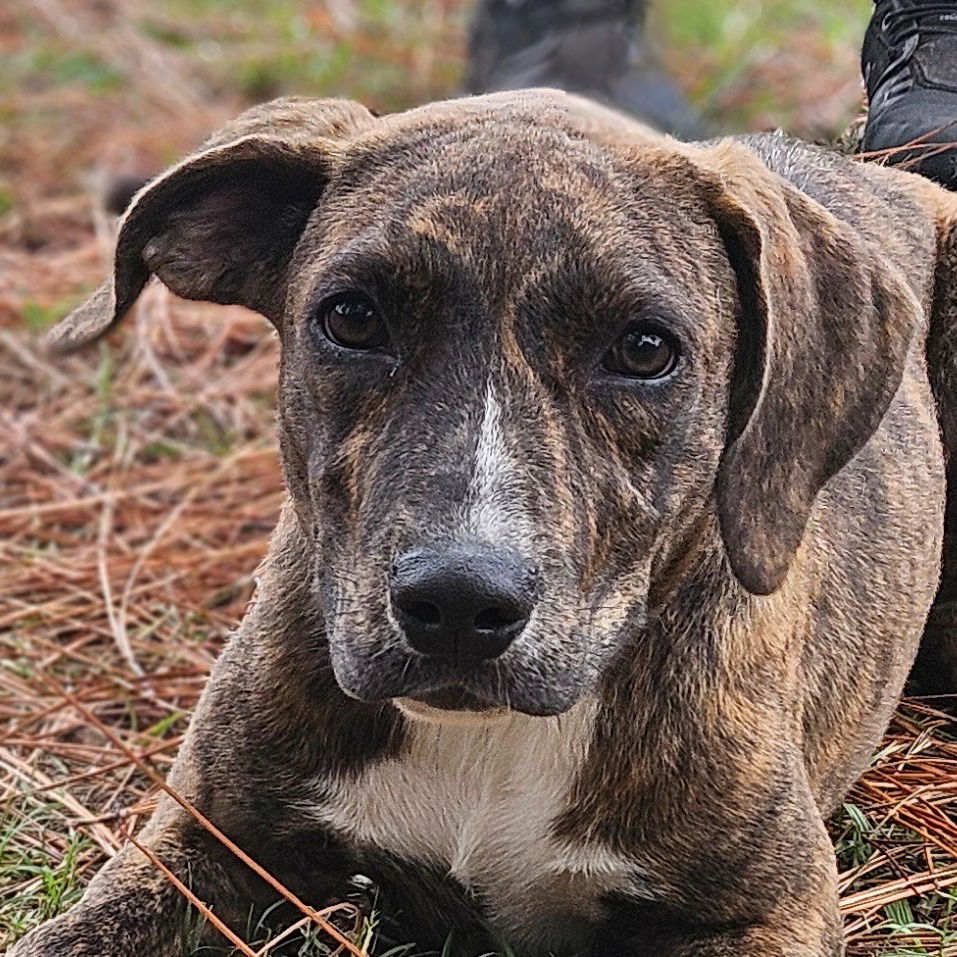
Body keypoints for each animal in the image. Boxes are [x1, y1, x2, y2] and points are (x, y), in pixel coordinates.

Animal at [11, 88, 956, 948]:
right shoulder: (201, 840)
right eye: (351, 316)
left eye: (644, 348)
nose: (459, 602)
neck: (485, 741)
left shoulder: (768, 906)